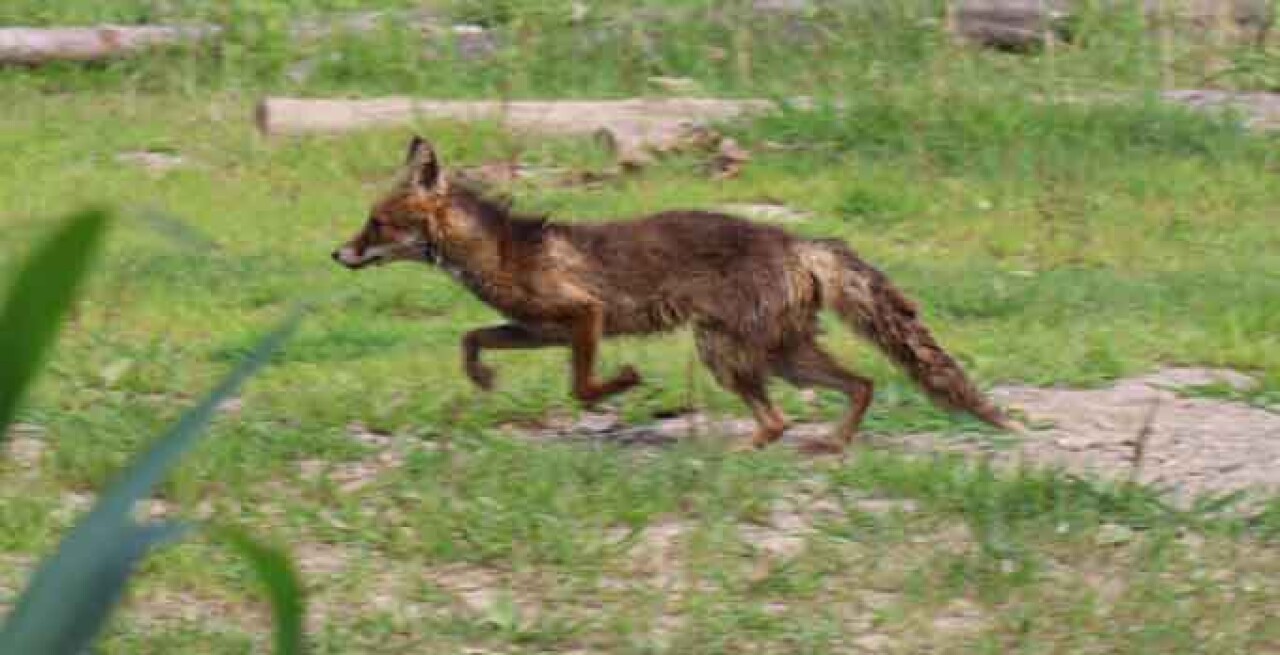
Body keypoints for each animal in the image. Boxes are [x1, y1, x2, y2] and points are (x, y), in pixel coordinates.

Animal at [335, 134, 1024, 450]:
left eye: (376, 224)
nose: (336, 255)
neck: (501, 252)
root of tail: (797, 241)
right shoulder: (538, 329)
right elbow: (471, 337)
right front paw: (481, 377)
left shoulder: (584, 315)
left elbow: (582, 387)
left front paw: (627, 381)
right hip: (778, 356)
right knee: (861, 385)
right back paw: (823, 443)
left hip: (725, 353)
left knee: (785, 416)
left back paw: (758, 448)